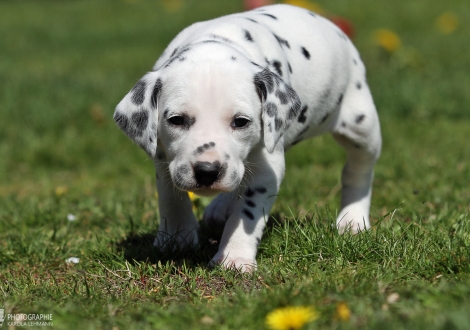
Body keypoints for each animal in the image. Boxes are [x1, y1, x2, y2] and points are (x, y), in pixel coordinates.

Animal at [114, 3, 382, 272]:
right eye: (176, 120)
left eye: (241, 121)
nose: (207, 171)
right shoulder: (163, 156)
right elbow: (171, 196)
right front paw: (176, 238)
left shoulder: (268, 165)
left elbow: (248, 211)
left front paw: (234, 256)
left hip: (362, 125)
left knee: (358, 171)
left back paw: (353, 219)